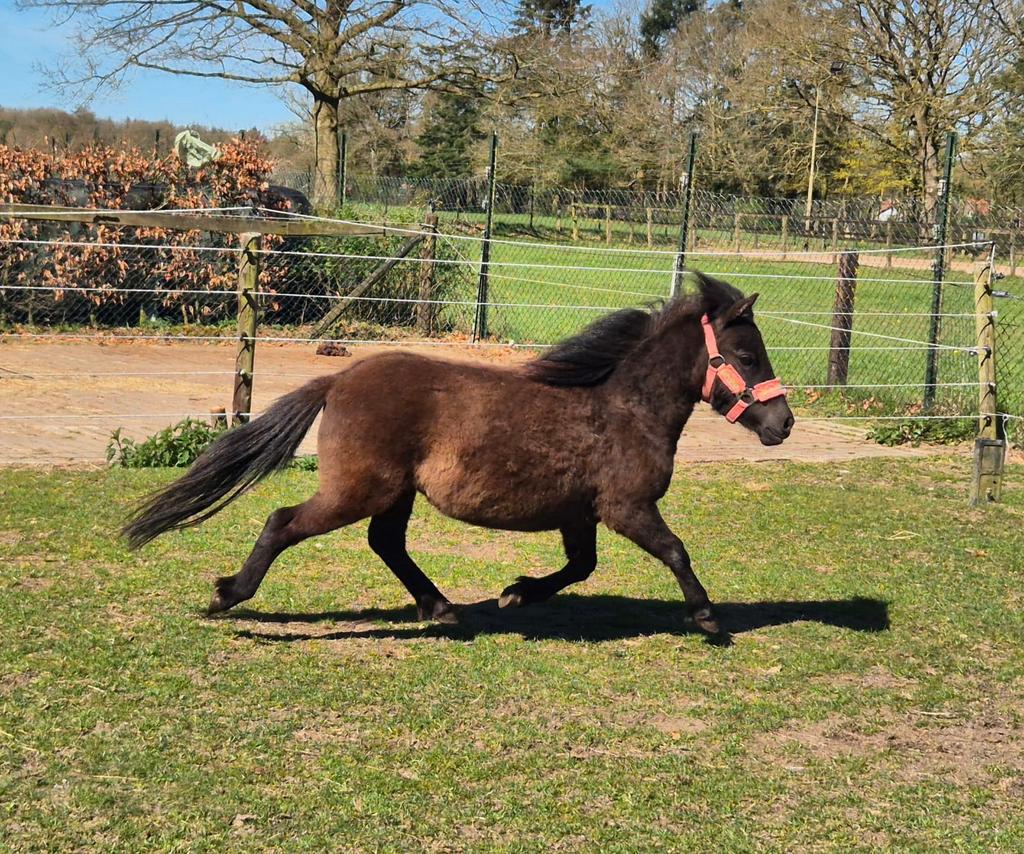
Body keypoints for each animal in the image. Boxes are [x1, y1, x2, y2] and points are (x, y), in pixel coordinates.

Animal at [124, 273, 794, 637]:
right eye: (747, 355)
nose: (783, 424)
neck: (624, 408)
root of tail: (340, 380)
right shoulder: (626, 507)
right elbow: (676, 550)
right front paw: (707, 618)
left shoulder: (580, 515)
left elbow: (580, 568)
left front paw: (517, 593)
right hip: (357, 490)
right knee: (282, 522)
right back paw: (229, 594)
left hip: (394, 494)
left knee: (385, 544)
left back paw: (440, 606)